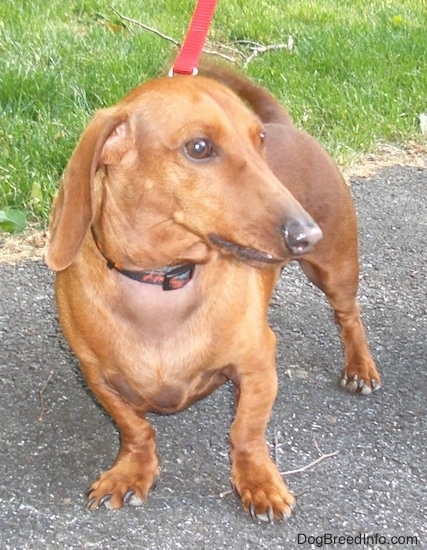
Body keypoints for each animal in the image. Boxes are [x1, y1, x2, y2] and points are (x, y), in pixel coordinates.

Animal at [46, 67, 382, 524]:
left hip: (336, 271)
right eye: (199, 147)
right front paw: (132, 471)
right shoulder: (96, 376)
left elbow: (246, 432)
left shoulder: (257, 366)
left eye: (258, 140)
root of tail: (286, 124)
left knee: (349, 316)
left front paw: (259, 483)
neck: (164, 279)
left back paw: (360, 367)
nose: (307, 234)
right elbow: (135, 428)